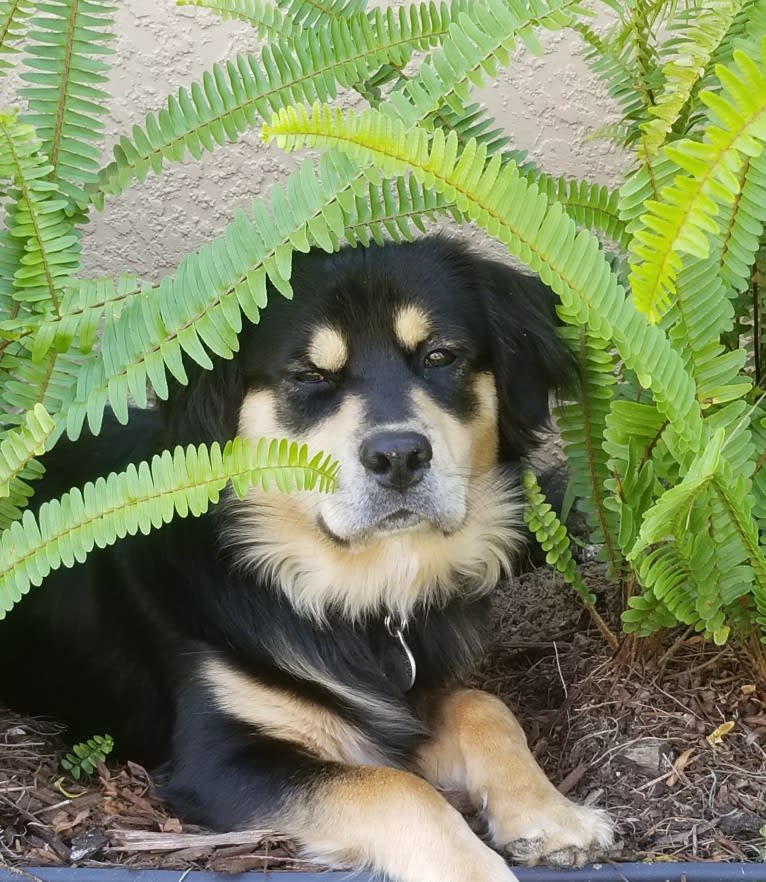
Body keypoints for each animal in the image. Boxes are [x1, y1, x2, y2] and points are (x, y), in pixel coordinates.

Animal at [0, 237, 616, 876]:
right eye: (309, 376)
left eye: (440, 356)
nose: (399, 456)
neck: (353, 593)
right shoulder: (219, 760)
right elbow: (395, 788)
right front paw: (477, 869)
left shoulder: (418, 692)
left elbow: (484, 706)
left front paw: (550, 814)